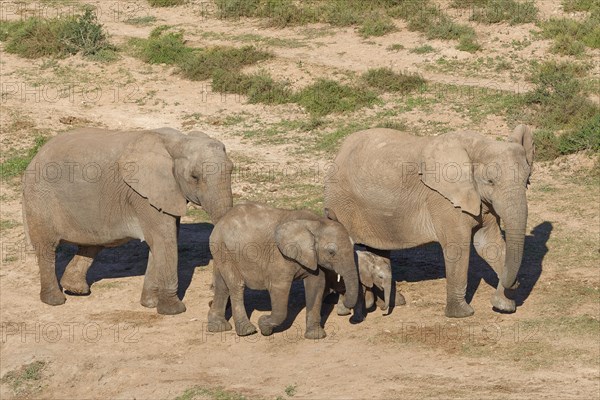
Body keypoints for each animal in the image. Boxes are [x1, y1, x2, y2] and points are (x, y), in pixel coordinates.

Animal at [21, 126, 233, 314]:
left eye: (232, 170)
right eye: (194, 176)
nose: (210, 296)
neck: (179, 140)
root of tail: (34, 157)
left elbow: (162, 240)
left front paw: (149, 304)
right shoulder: (142, 193)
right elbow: (165, 240)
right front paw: (173, 310)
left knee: (92, 244)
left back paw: (76, 289)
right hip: (41, 197)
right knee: (46, 247)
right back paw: (55, 300)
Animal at [207, 203, 356, 338]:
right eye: (331, 252)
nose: (346, 311)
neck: (315, 222)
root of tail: (220, 221)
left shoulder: (314, 259)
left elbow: (316, 285)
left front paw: (316, 336)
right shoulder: (279, 256)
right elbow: (278, 288)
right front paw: (264, 325)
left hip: (221, 250)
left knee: (222, 286)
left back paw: (218, 327)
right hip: (223, 248)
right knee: (236, 285)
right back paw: (247, 331)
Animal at [324, 126, 536, 318]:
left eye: (527, 180)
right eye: (490, 181)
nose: (515, 283)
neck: (478, 144)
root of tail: (339, 151)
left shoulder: (482, 201)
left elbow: (488, 242)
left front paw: (504, 306)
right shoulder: (442, 199)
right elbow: (457, 247)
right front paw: (461, 314)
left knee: (378, 250)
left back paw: (394, 302)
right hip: (342, 204)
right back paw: (346, 309)